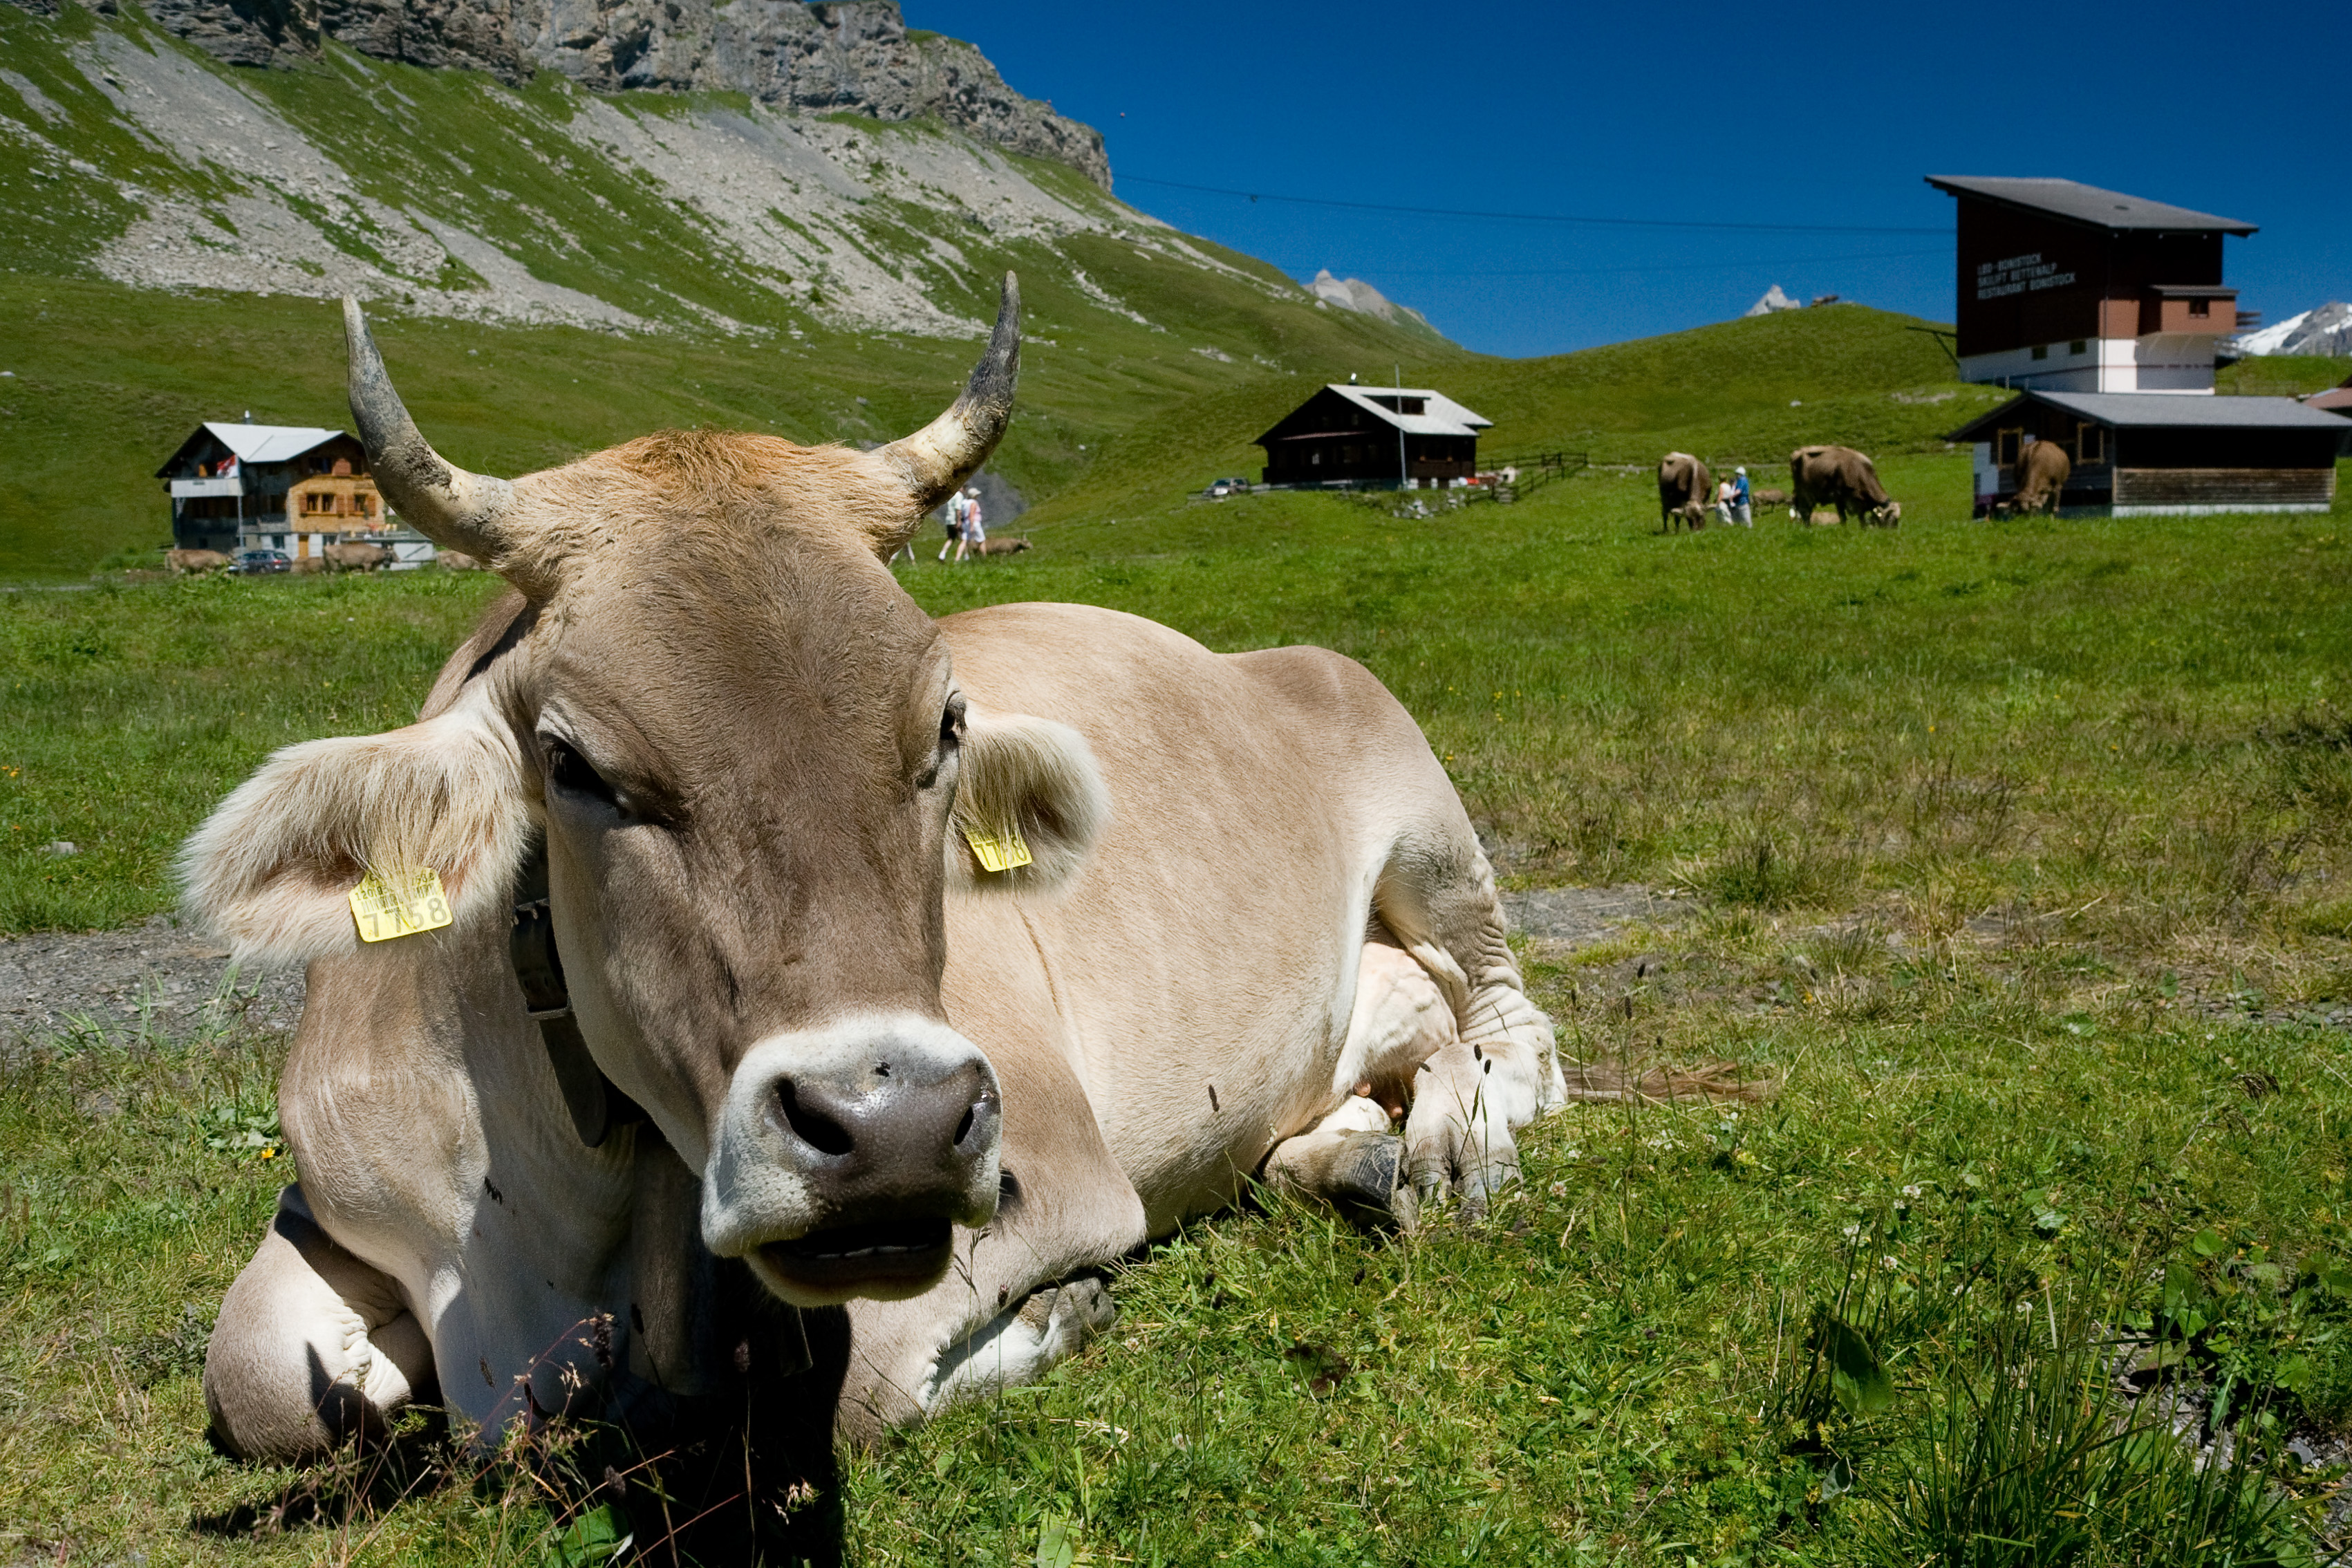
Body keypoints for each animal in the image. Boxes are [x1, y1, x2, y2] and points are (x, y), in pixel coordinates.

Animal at [1787, 444, 1900, 531]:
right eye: (1890, 517)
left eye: (1897, 519)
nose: (1893, 531)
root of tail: (1797, 453)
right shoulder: (1839, 497)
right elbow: (1843, 517)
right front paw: (1845, 530)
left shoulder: (1860, 502)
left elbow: (1861, 517)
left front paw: (1863, 529)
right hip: (1805, 493)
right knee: (1806, 512)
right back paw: (1809, 529)